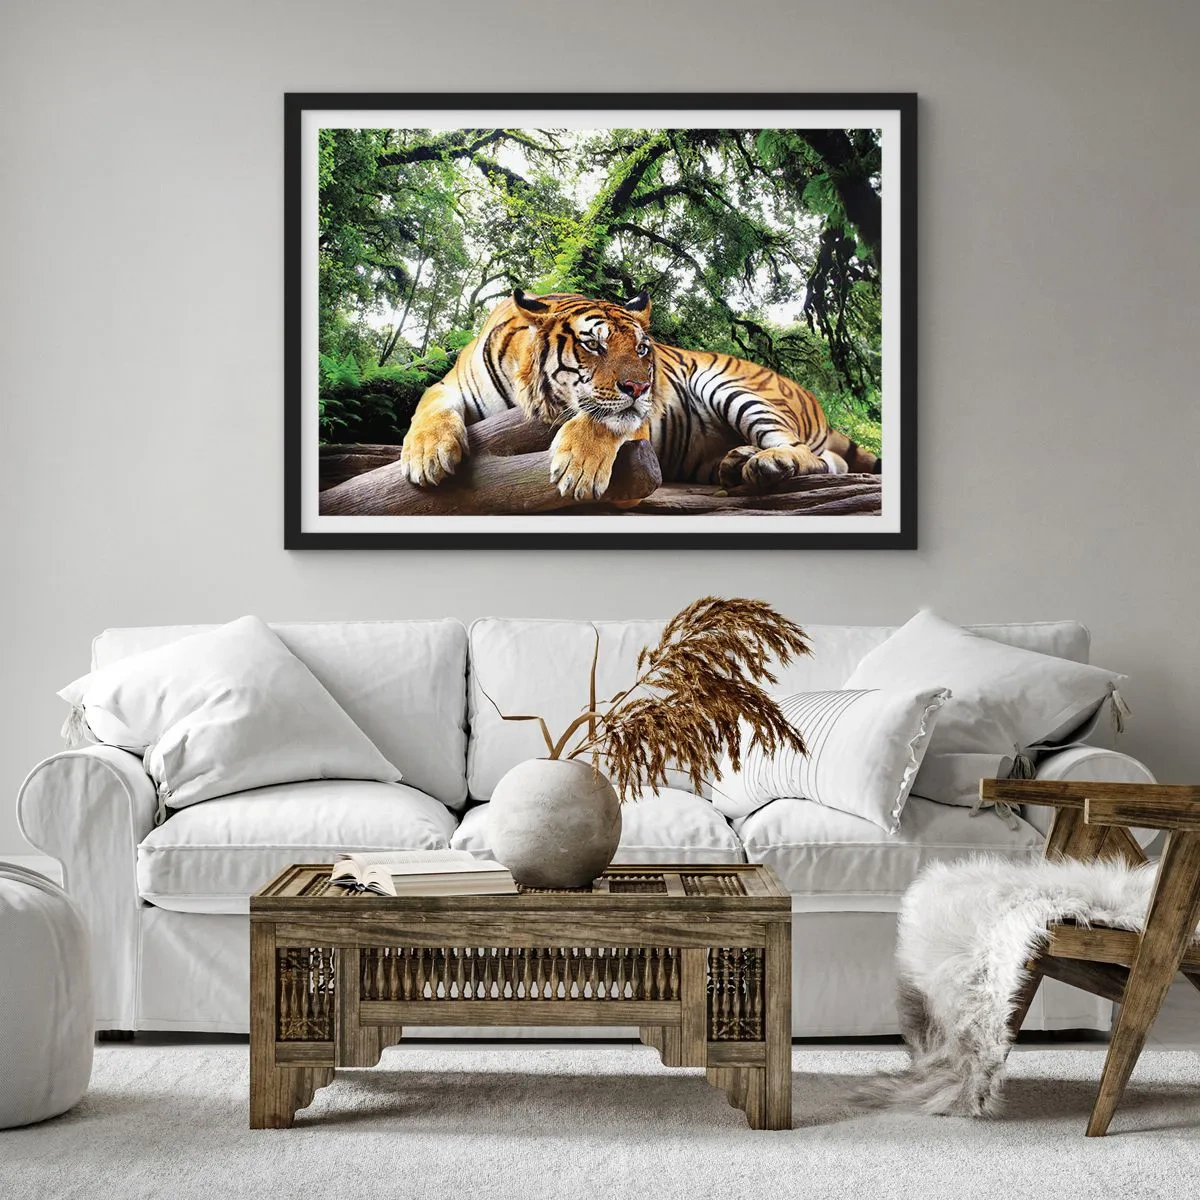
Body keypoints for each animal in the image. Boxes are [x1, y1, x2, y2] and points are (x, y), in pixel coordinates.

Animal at [398, 289, 880, 500]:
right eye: (594, 345)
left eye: (643, 348)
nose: (641, 387)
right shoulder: (449, 386)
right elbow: (428, 405)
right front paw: (427, 455)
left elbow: (604, 419)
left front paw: (578, 468)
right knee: (829, 461)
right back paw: (737, 461)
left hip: (732, 387)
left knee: (809, 455)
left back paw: (767, 463)